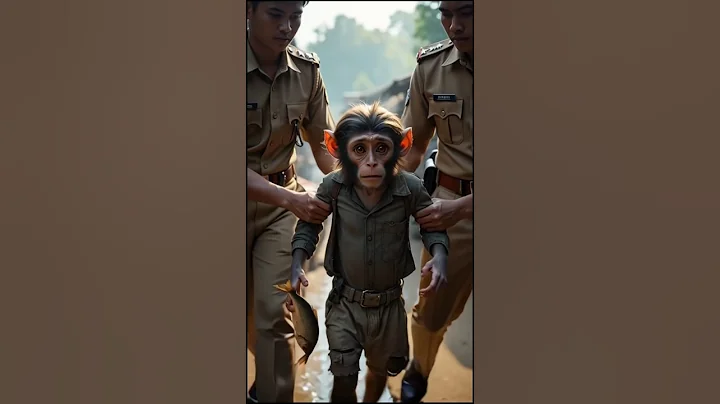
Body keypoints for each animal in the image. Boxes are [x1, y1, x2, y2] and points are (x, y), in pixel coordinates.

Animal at [288, 102, 450, 402]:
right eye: (360, 149)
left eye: (382, 148)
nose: (372, 163)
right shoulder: (327, 188)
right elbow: (310, 225)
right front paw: (296, 275)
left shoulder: (417, 189)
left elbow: (430, 226)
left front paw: (438, 268)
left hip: (391, 339)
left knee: (380, 366)